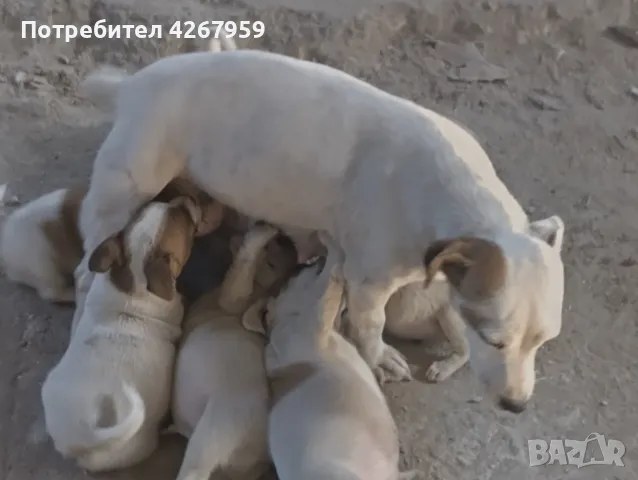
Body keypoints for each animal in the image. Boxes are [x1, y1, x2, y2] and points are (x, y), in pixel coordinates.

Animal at [72, 48, 568, 410]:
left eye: (544, 341)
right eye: (492, 339)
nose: (516, 405)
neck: (447, 193)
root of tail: (133, 85)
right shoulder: (370, 284)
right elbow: (371, 328)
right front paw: (381, 359)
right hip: (125, 188)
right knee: (89, 254)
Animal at [171, 222, 298, 480]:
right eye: (272, 260)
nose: (287, 241)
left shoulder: (234, 299)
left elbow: (240, 273)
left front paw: (260, 234)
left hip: (217, 427)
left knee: (196, 468)